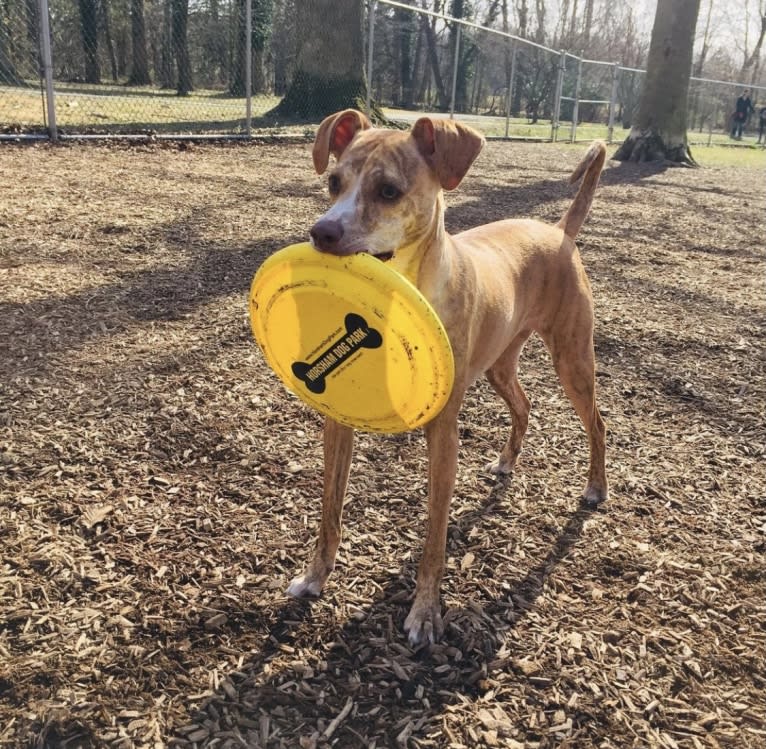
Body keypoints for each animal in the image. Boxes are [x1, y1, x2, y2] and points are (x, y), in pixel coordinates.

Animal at [284, 109, 608, 648]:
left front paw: (425, 612)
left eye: (388, 190)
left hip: (573, 361)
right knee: (524, 405)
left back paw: (596, 487)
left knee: (597, 424)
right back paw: (506, 462)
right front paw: (315, 576)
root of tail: (559, 232)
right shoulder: (339, 421)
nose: (322, 232)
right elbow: (330, 508)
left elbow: (435, 535)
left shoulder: (443, 433)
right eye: (333, 182)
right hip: (500, 365)